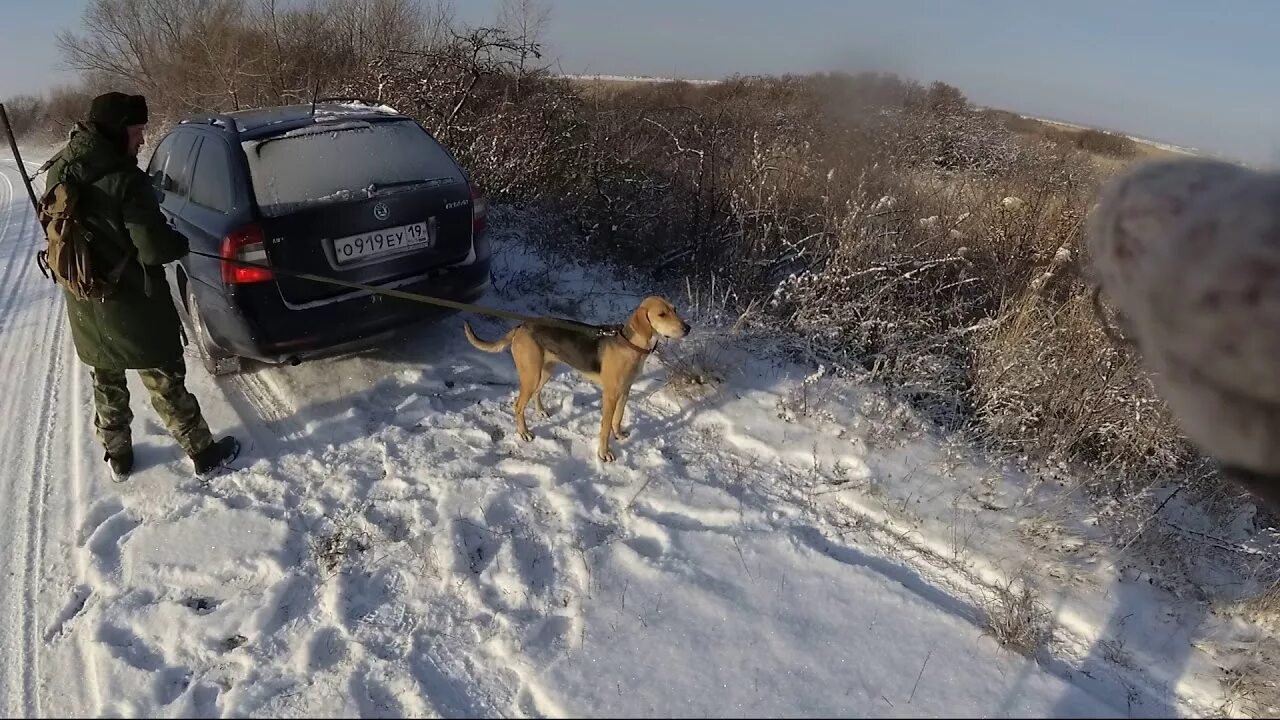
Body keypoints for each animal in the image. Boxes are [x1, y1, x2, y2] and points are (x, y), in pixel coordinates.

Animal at [465, 295, 691, 458]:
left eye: (675, 309)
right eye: (661, 314)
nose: (688, 328)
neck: (631, 344)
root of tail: (521, 325)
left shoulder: (625, 391)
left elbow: (618, 418)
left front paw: (619, 435)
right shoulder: (610, 395)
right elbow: (605, 427)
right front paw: (604, 453)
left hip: (546, 370)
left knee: (536, 393)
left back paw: (541, 411)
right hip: (531, 375)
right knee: (518, 405)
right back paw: (524, 433)